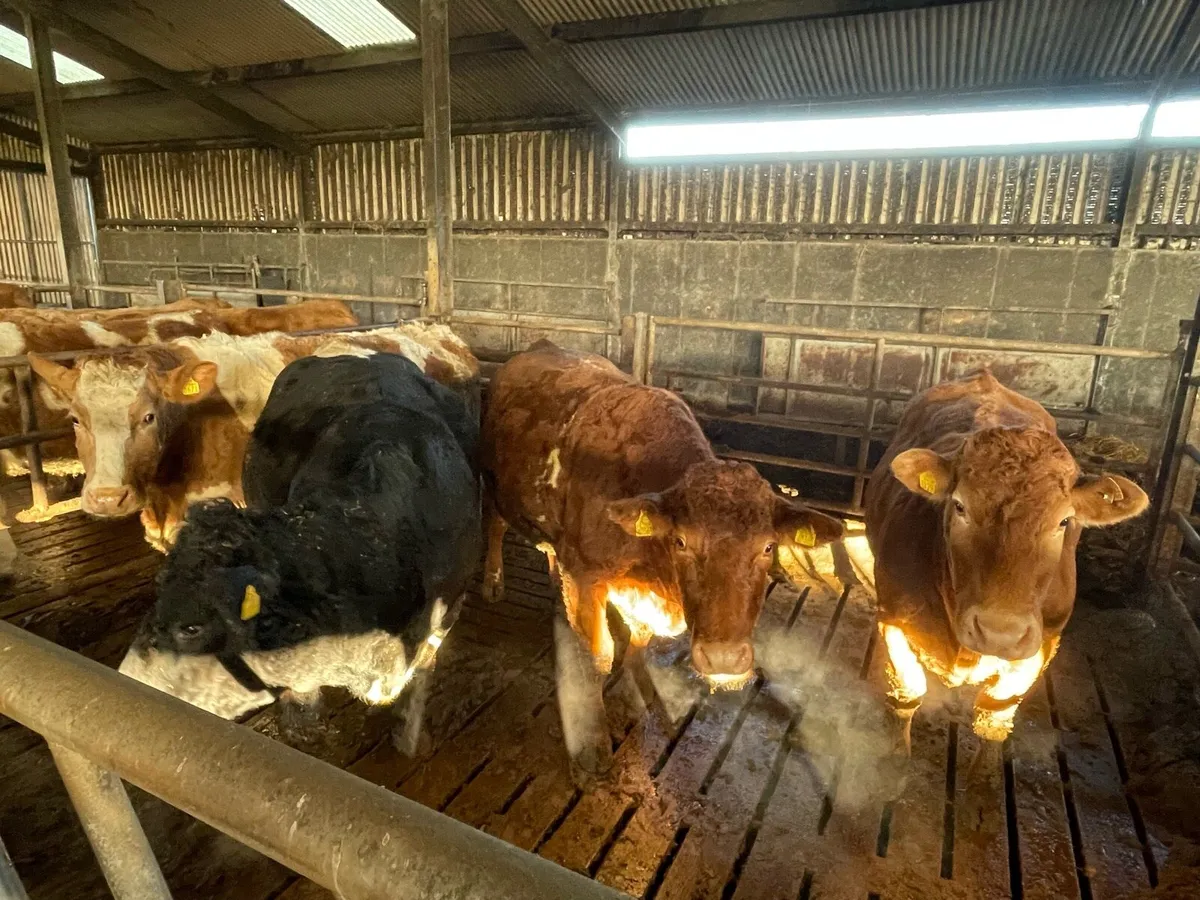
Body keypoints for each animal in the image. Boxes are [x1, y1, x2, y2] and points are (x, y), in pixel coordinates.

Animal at [481, 341, 843, 780]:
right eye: (682, 541)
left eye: (769, 547)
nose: (724, 659)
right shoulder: (586, 576)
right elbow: (595, 657)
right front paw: (593, 748)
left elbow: (639, 640)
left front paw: (642, 692)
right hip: (493, 484)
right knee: (494, 524)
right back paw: (492, 582)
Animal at [865, 370, 1148, 769]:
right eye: (960, 506)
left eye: (1064, 521)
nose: (1000, 632)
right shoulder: (894, 618)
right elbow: (908, 690)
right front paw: (896, 761)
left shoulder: (1042, 643)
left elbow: (994, 715)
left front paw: (983, 778)